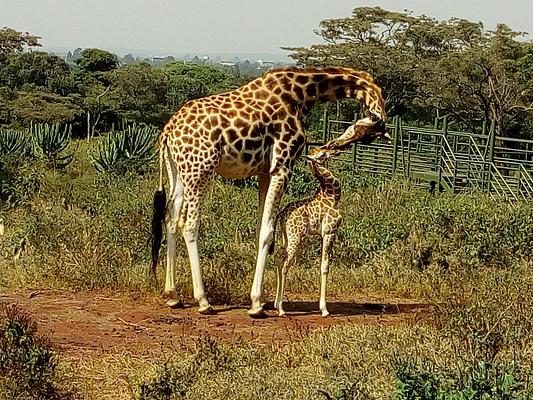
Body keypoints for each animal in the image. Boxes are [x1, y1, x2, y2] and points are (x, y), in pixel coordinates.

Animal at [274, 145, 340, 318]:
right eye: (322, 154)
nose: (336, 151)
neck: (333, 195)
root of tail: (281, 214)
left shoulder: (322, 235)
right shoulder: (330, 232)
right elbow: (325, 266)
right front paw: (324, 309)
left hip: (286, 237)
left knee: (279, 259)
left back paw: (276, 304)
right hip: (296, 238)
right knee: (285, 264)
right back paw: (281, 309)